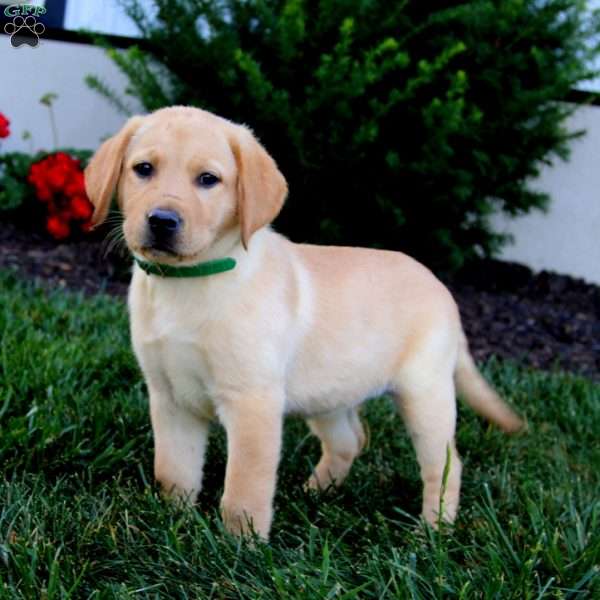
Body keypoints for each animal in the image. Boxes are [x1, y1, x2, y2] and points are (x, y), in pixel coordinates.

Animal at [85, 106, 524, 540]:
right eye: (143, 169)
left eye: (208, 179)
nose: (162, 220)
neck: (189, 280)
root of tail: (441, 288)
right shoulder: (171, 397)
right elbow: (173, 471)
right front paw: (172, 522)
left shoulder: (252, 401)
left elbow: (244, 486)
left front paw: (240, 546)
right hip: (329, 391)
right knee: (351, 439)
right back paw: (316, 491)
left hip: (425, 393)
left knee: (445, 465)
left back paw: (434, 530)